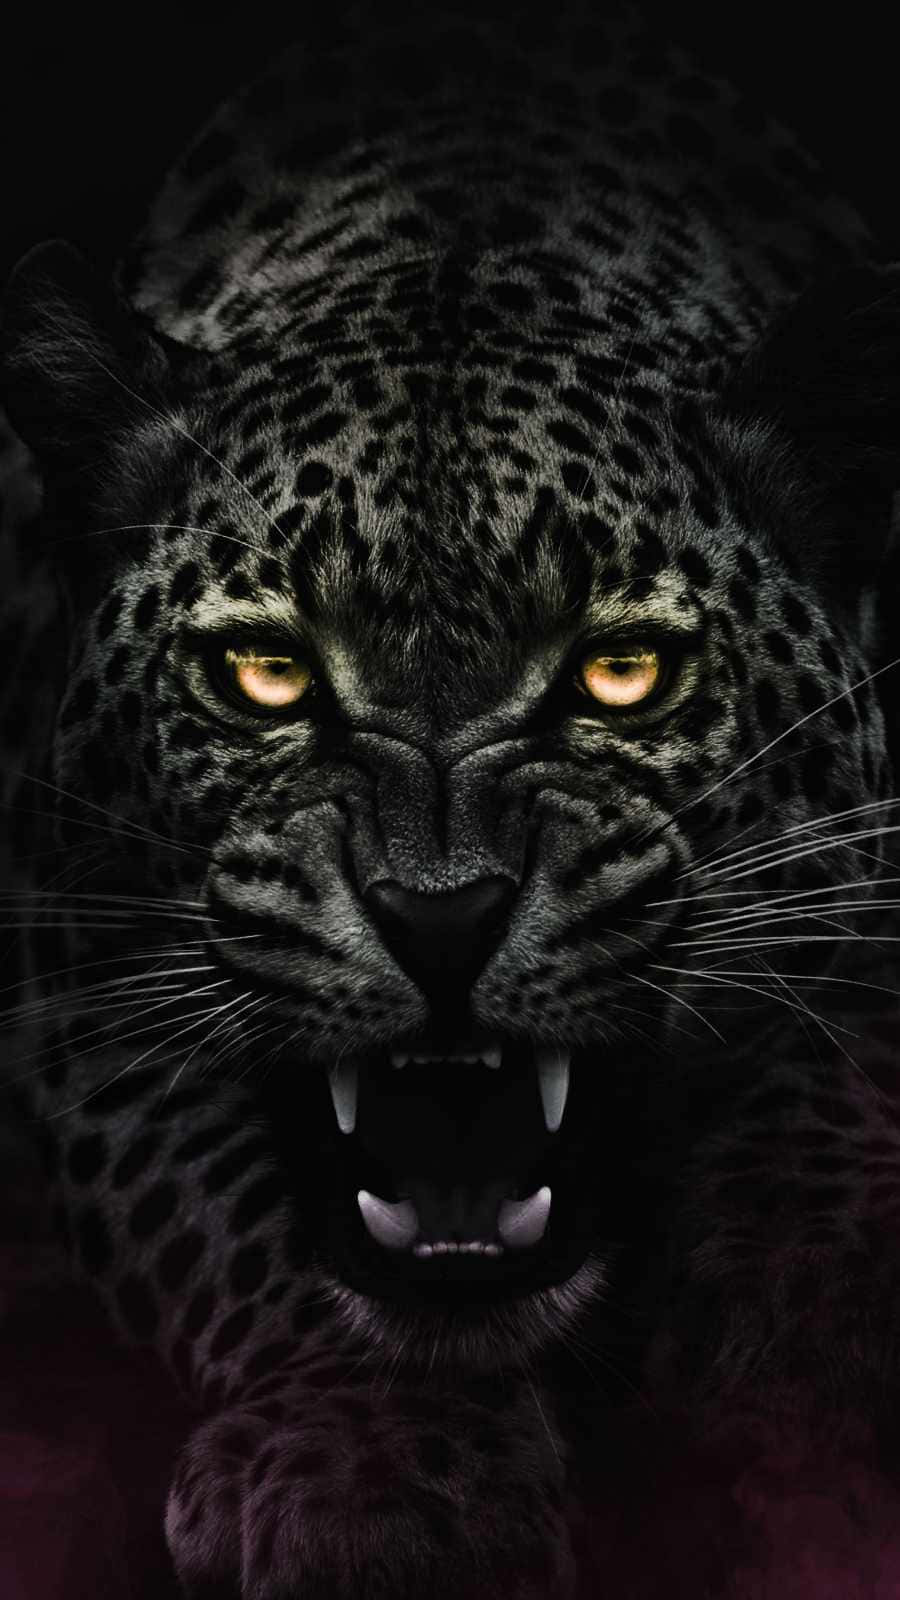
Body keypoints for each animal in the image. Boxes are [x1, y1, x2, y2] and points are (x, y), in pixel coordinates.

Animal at [2, 2, 900, 1596]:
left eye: (621, 673)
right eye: (266, 674)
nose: (440, 917)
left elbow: (832, 1076)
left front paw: (810, 1329)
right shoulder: (71, 949)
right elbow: (210, 1206)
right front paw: (377, 1471)